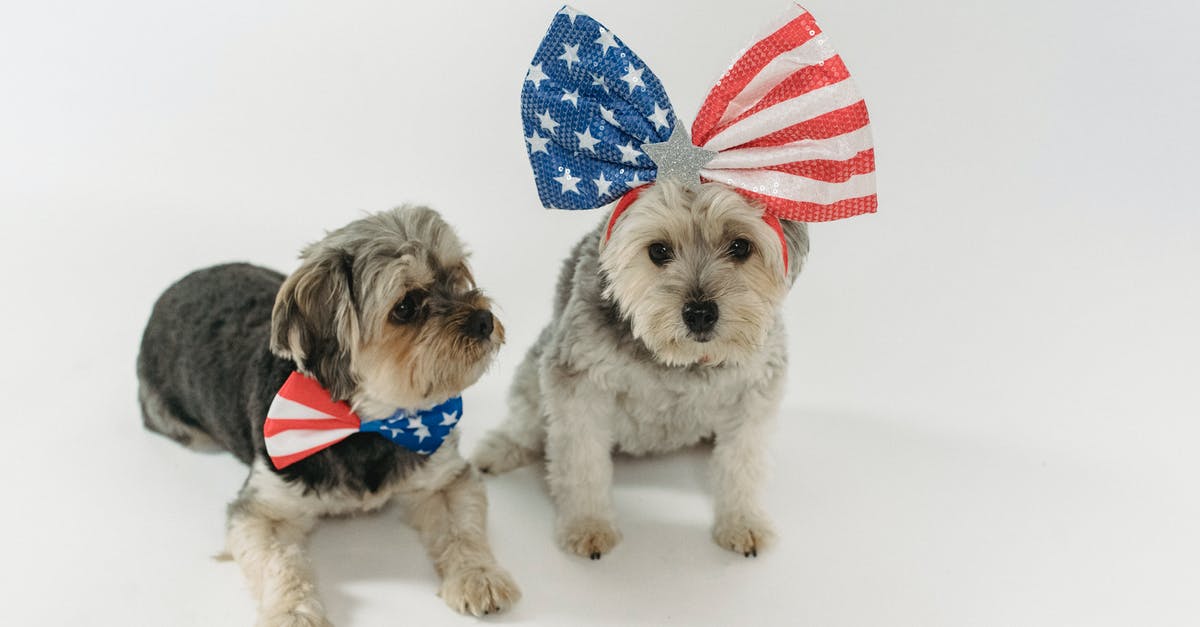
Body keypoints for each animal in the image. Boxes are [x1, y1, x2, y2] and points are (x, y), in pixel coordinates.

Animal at [137, 205, 520, 619]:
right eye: (405, 307)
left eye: (456, 274)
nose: (484, 321)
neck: (365, 422)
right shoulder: (263, 509)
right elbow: (279, 563)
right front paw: (293, 613)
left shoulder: (444, 476)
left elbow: (463, 529)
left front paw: (479, 576)